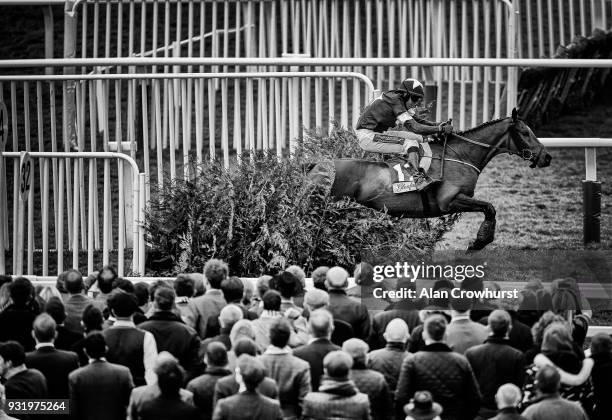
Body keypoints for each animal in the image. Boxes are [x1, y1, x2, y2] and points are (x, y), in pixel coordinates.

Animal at [308, 110, 552, 251]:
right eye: (525, 132)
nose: (546, 157)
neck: (460, 156)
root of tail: (316, 164)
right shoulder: (449, 201)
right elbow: (489, 208)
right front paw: (479, 241)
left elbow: (489, 208)